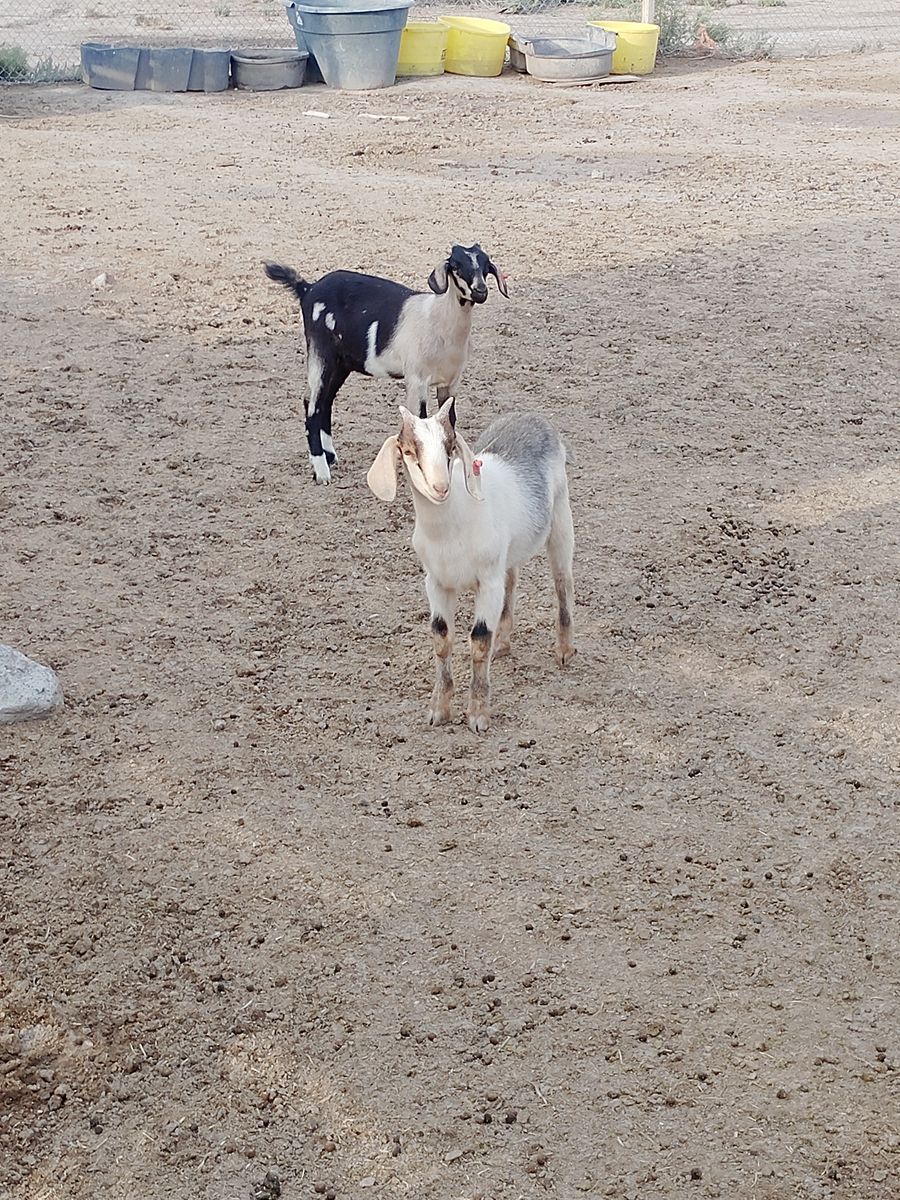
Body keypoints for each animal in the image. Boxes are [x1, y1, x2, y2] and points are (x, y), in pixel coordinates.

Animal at [264, 244, 508, 485]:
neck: (438, 321)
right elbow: (419, 422)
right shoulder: (416, 379)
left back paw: (330, 456)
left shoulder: (450, 383)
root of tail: (308, 288)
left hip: (341, 362)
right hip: (321, 351)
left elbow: (449, 423)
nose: (480, 291)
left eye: (486, 266)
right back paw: (321, 471)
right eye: (456, 266)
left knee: (323, 401)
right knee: (313, 405)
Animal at [367, 398, 576, 733]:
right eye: (409, 451)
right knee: (512, 581)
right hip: (508, 551)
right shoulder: (436, 582)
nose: (440, 487)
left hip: (560, 516)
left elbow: (479, 639)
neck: (453, 525)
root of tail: (530, 416)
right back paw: (502, 644)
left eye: (450, 447)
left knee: (562, 579)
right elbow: (441, 636)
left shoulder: (486, 582)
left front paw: (478, 714)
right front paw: (438, 709)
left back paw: (565, 651)